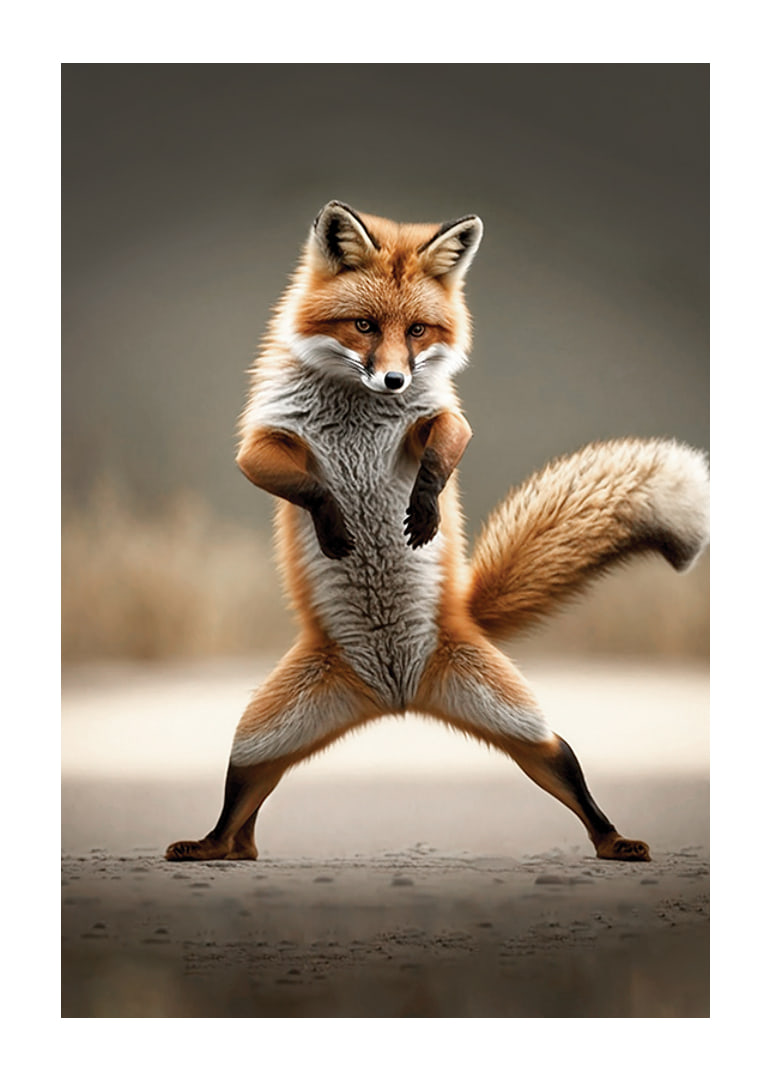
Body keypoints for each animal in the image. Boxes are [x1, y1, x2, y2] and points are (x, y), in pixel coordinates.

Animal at [166, 201, 709, 864]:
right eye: (364, 326)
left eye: (418, 331)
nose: (394, 381)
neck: (358, 412)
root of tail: (397, 697)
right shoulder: (264, 440)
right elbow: (308, 486)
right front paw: (337, 523)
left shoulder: (440, 418)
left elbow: (446, 446)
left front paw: (423, 510)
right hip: (261, 738)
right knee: (242, 805)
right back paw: (216, 847)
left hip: (517, 723)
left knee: (564, 763)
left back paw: (614, 841)